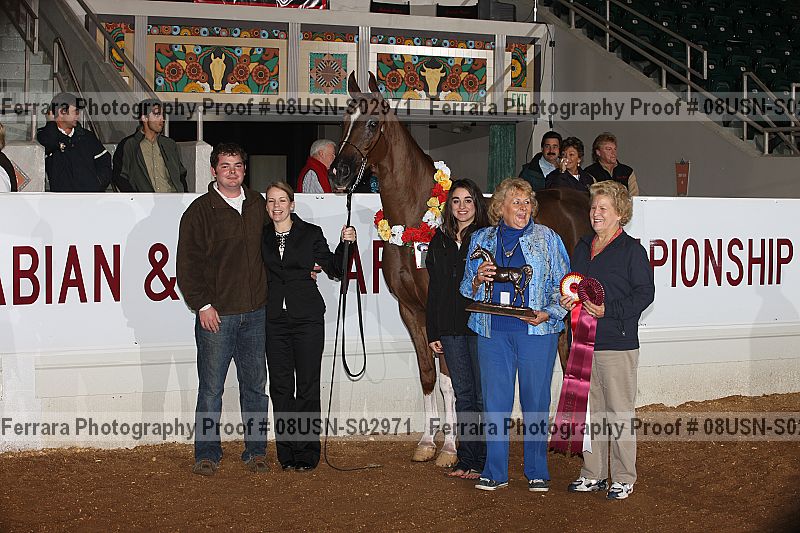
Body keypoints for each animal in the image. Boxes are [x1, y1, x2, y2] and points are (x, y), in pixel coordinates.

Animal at [330, 72, 592, 465]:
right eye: (345, 120)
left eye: (372, 123)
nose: (338, 172)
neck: (416, 217)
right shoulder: (412, 311)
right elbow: (428, 376)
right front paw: (427, 442)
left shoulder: (445, 309)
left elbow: (451, 380)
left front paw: (451, 448)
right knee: (562, 349)